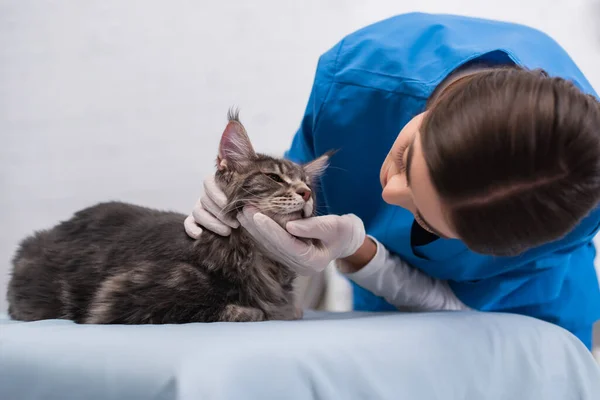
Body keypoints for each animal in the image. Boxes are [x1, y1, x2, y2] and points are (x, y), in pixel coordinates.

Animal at [7, 110, 330, 324]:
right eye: (274, 177)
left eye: (306, 183)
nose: (306, 194)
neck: (260, 260)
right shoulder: (118, 296)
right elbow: (236, 309)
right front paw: (257, 309)